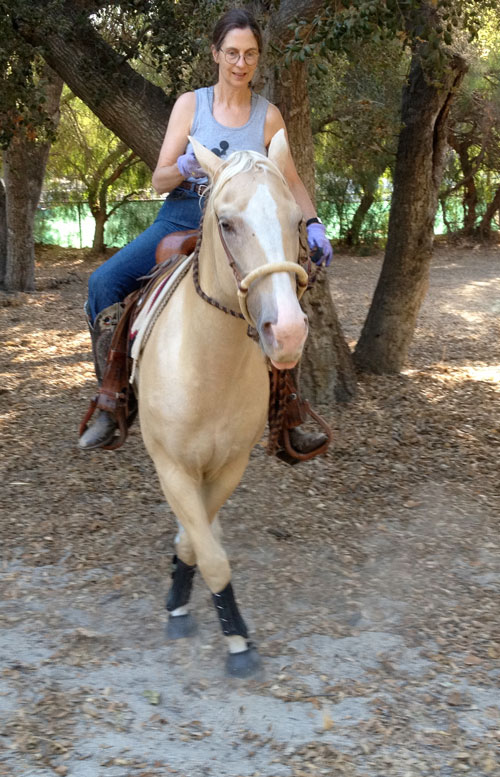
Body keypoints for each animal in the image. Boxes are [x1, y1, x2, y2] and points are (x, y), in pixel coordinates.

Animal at [136, 130, 309, 676]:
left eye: (297, 221)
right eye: (227, 223)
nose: (288, 332)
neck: (207, 367)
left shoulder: (230, 465)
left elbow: (196, 540)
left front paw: (185, 596)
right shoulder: (171, 467)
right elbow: (209, 552)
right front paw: (234, 640)